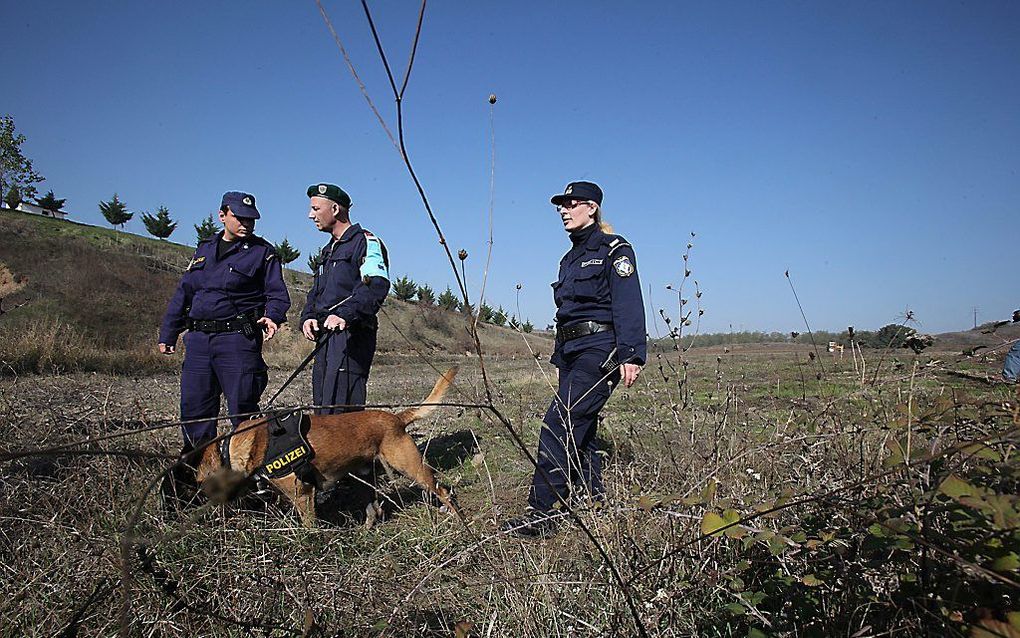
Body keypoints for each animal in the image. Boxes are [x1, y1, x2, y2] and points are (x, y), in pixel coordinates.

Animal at [194, 365, 459, 526]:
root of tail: (396, 418)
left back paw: (456, 520)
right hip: (369, 474)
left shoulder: (303, 493)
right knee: (375, 507)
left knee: (443, 491)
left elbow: (309, 526)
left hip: (411, 467)